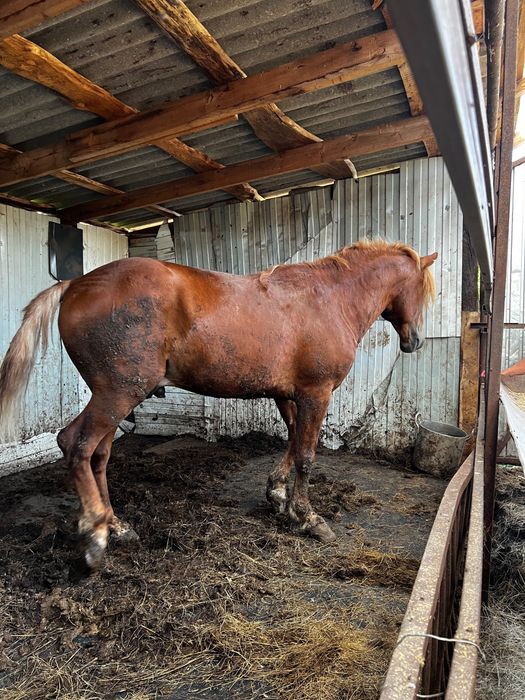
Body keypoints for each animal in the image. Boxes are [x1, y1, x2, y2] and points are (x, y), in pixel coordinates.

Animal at [0, 239, 437, 571]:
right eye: (423, 288)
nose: (415, 341)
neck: (327, 299)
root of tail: (76, 284)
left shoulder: (287, 393)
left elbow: (293, 440)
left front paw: (278, 495)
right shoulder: (317, 392)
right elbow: (306, 454)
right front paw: (308, 516)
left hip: (114, 396)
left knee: (100, 455)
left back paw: (117, 526)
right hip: (117, 393)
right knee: (75, 444)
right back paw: (94, 536)